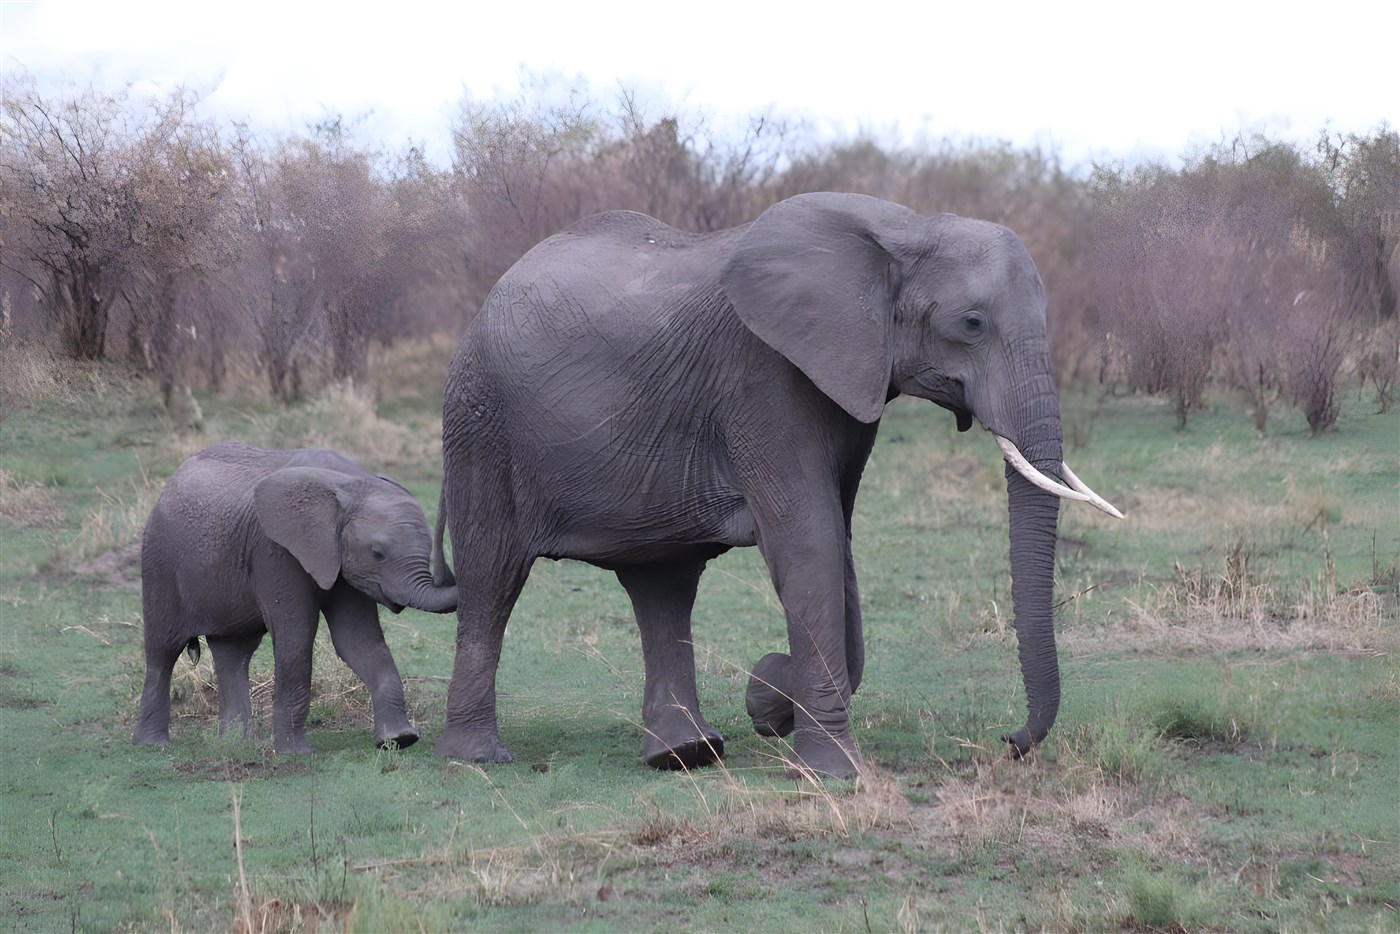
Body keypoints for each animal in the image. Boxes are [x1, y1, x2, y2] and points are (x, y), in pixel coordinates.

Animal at [133, 442, 458, 753]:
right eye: (377, 553)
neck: (349, 484)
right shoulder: (274, 549)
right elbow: (297, 636)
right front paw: (295, 752)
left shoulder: (339, 561)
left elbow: (358, 639)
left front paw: (399, 740)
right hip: (159, 563)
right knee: (163, 650)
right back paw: (153, 744)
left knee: (233, 652)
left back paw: (237, 745)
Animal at [433, 192, 1121, 778]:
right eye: (972, 322)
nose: (1009, 740)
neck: (903, 227)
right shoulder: (760, 375)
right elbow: (809, 542)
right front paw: (828, 764)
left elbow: (837, 543)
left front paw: (769, 699)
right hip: (480, 423)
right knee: (492, 578)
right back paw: (479, 758)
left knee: (663, 586)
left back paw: (685, 756)